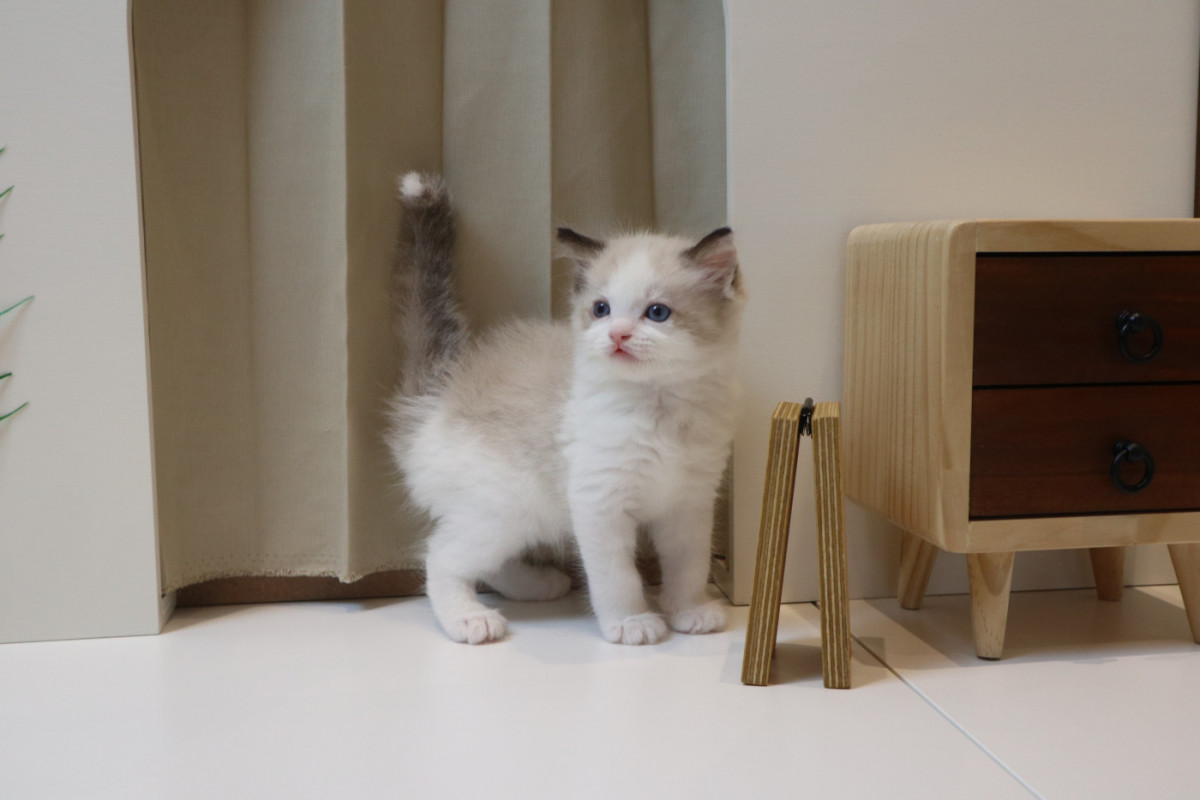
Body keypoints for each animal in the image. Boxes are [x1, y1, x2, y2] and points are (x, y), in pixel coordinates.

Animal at [388, 172, 745, 645]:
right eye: (601, 309)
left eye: (657, 313)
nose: (617, 335)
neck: (658, 406)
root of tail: (437, 397)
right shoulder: (599, 502)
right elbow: (616, 576)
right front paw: (631, 622)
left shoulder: (689, 502)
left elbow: (690, 564)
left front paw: (689, 611)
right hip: (505, 507)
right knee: (440, 555)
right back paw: (470, 619)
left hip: (514, 516)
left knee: (485, 560)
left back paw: (538, 585)